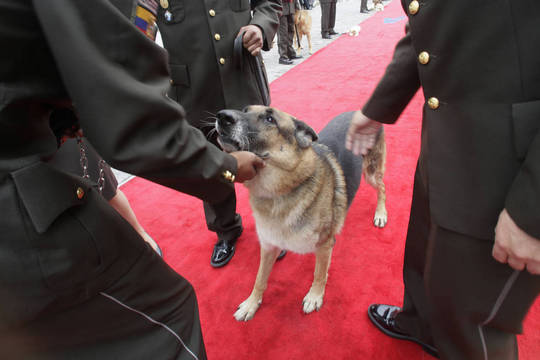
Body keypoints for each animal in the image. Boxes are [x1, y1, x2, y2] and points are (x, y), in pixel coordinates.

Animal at [213, 107, 386, 320]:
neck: (278, 194)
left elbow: (319, 274)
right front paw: (252, 303)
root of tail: (358, 111)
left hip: (371, 172)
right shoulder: (269, 246)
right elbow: (260, 278)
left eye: (270, 119)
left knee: (382, 187)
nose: (222, 116)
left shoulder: (324, 245)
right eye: (245, 109)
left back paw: (381, 213)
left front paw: (315, 296)